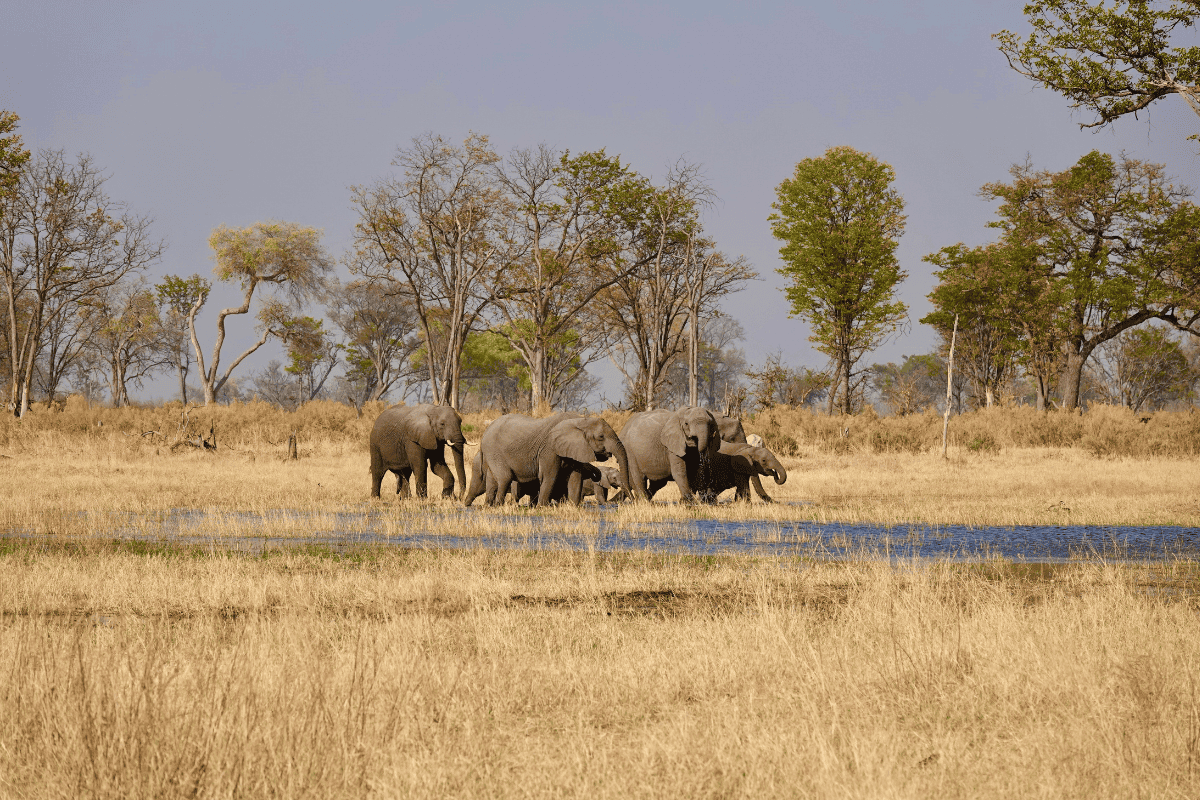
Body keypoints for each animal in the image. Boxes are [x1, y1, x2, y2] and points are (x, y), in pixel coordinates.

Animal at [463, 412, 633, 507]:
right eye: (601, 437)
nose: (634, 501)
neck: (580, 420)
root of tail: (485, 432)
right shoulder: (549, 449)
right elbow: (550, 475)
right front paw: (542, 507)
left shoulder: (574, 447)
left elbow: (575, 477)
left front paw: (573, 507)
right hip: (494, 451)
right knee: (504, 478)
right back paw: (498, 506)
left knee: (493, 481)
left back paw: (488, 506)